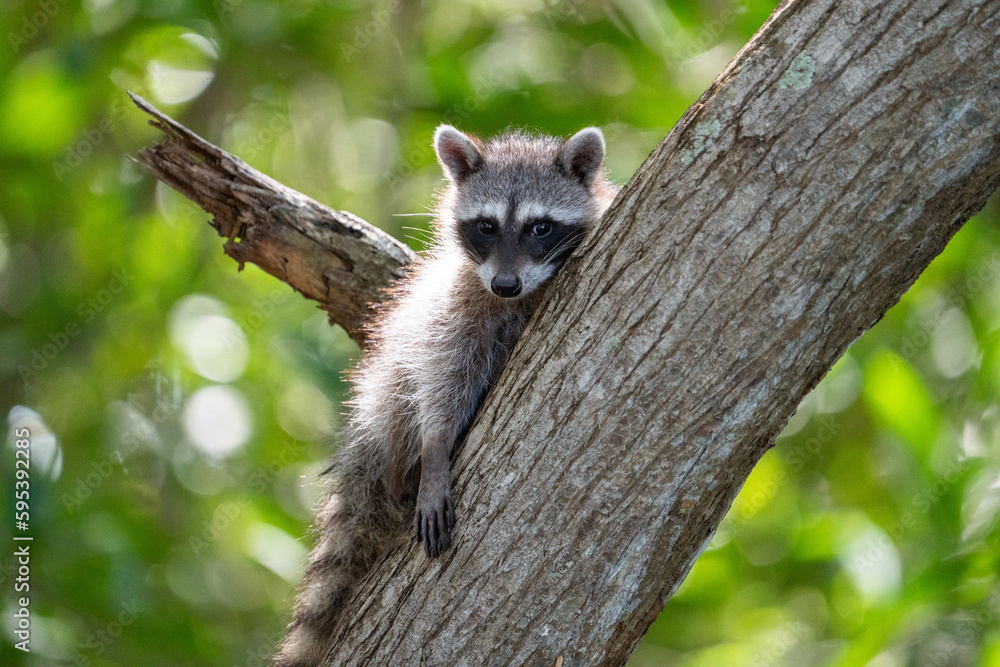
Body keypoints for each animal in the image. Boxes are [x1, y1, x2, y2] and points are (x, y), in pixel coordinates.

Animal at [275, 125, 617, 666]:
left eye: (541, 227)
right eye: (487, 226)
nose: (504, 284)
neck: (520, 296)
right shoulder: (455, 305)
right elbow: (440, 375)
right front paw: (436, 446)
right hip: (386, 399)